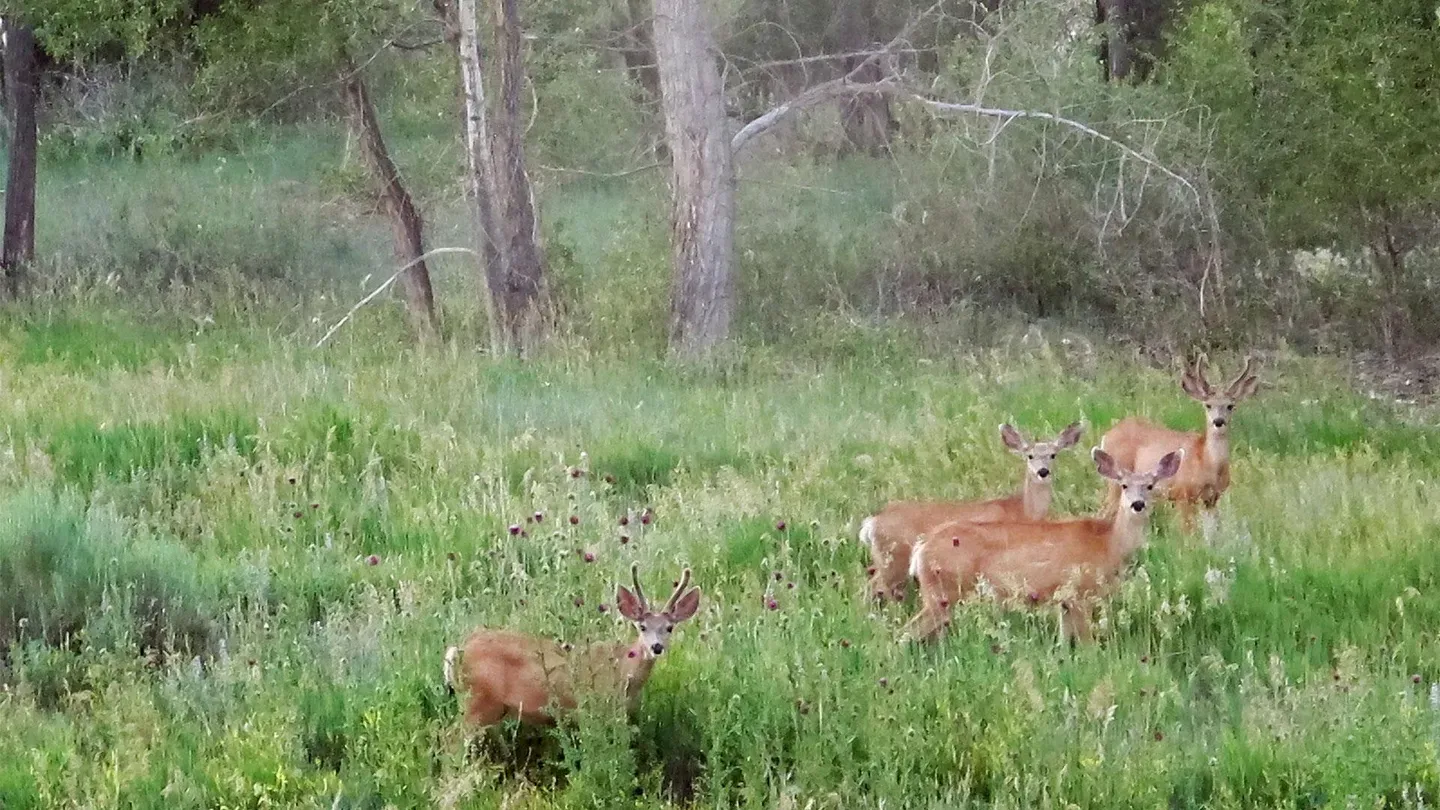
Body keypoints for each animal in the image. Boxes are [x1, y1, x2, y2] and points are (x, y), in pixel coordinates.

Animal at [443, 562, 702, 726]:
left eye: (669, 628)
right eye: (642, 627)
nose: (656, 647)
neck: (624, 671)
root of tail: (461, 649)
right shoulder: (600, 709)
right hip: (479, 700)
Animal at [852, 417, 1082, 602]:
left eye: (1053, 455)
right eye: (1030, 456)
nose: (1043, 472)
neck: (1021, 509)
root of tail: (871, 522)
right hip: (894, 556)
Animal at [898, 441, 1180, 642]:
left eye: (1150, 486)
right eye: (1123, 485)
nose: (1137, 504)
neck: (1109, 543)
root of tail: (922, 548)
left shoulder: (1064, 601)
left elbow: (1064, 643)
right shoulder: (1080, 593)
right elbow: (1087, 644)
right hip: (943, 590)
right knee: (905, 633)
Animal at [1100, 354, 1261, 536]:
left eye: (1230, 406)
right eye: (1208, 405)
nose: (1218, 421)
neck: (1207, 463)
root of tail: (1107, 434)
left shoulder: (1211, 499)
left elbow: (1211, 534)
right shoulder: (1183, 495)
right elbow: (1188, 532)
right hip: (1116, 483)